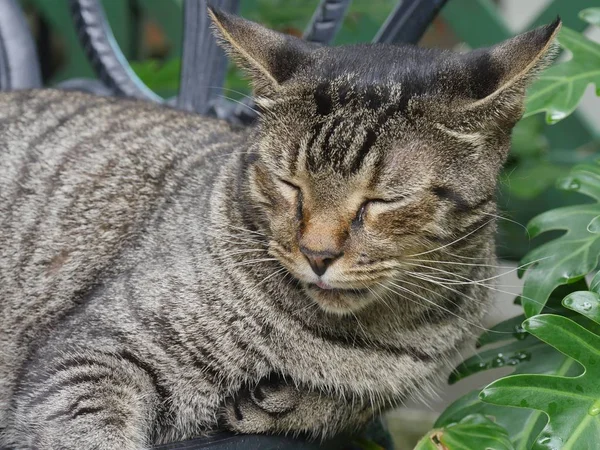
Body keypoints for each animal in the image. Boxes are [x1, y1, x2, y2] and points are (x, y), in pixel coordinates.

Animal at [0, 7, 560, 450]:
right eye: (290, 185)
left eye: (383, 201)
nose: (317, 254)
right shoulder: (96, 353)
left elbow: (342, 403)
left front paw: (284, 402)